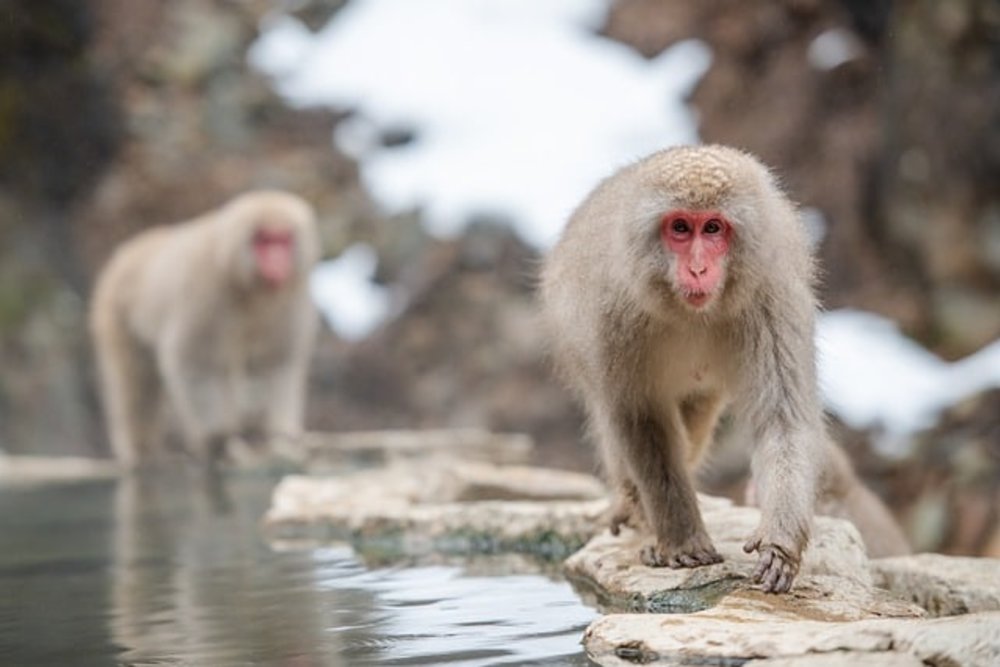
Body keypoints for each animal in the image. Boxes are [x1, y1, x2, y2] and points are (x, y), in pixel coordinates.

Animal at [90, 190, 320, 468]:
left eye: (283, 240)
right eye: (264, 241)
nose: (277, 261)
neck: (249, 289)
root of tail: (128, 251)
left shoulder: (291, 297)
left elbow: (276, 364)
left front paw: (280, 440)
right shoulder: (205, 292)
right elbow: (194, 362)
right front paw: (217, 440)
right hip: (115, 312)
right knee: (138, 383)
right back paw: (144, 452)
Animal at [540, 145, 908, 593]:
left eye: (713, 228)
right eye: (681, 228)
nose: (698, 269)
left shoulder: (771, 298)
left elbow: (782, 417)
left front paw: (779, 546)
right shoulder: (611, 316)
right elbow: (639, 419)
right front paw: (681, 539)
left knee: (694, 425)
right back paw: (636, 510)